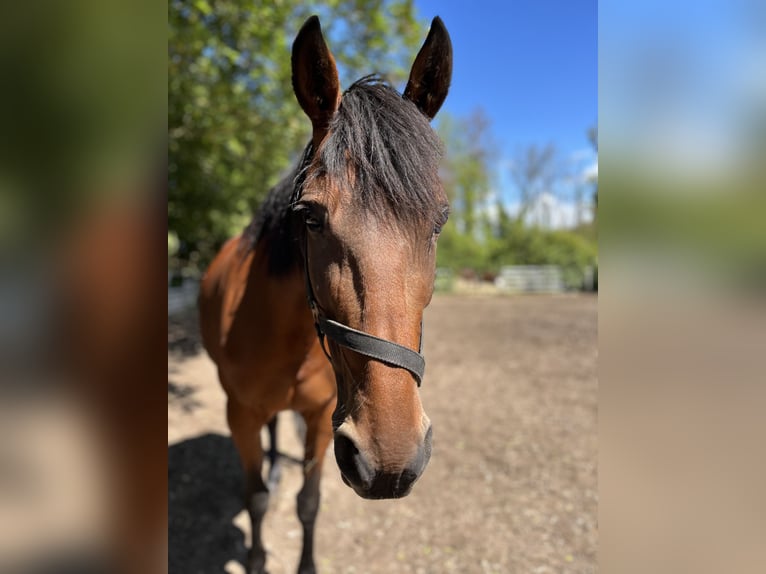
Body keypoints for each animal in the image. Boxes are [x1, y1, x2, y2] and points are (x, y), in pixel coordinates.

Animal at [198, 14, 452, 574]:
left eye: (438, 222)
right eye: (310, 217)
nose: (390, 461)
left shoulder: (320, 418)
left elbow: (308, 502)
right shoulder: (239, 414)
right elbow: (257, 500)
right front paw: (256, 558)